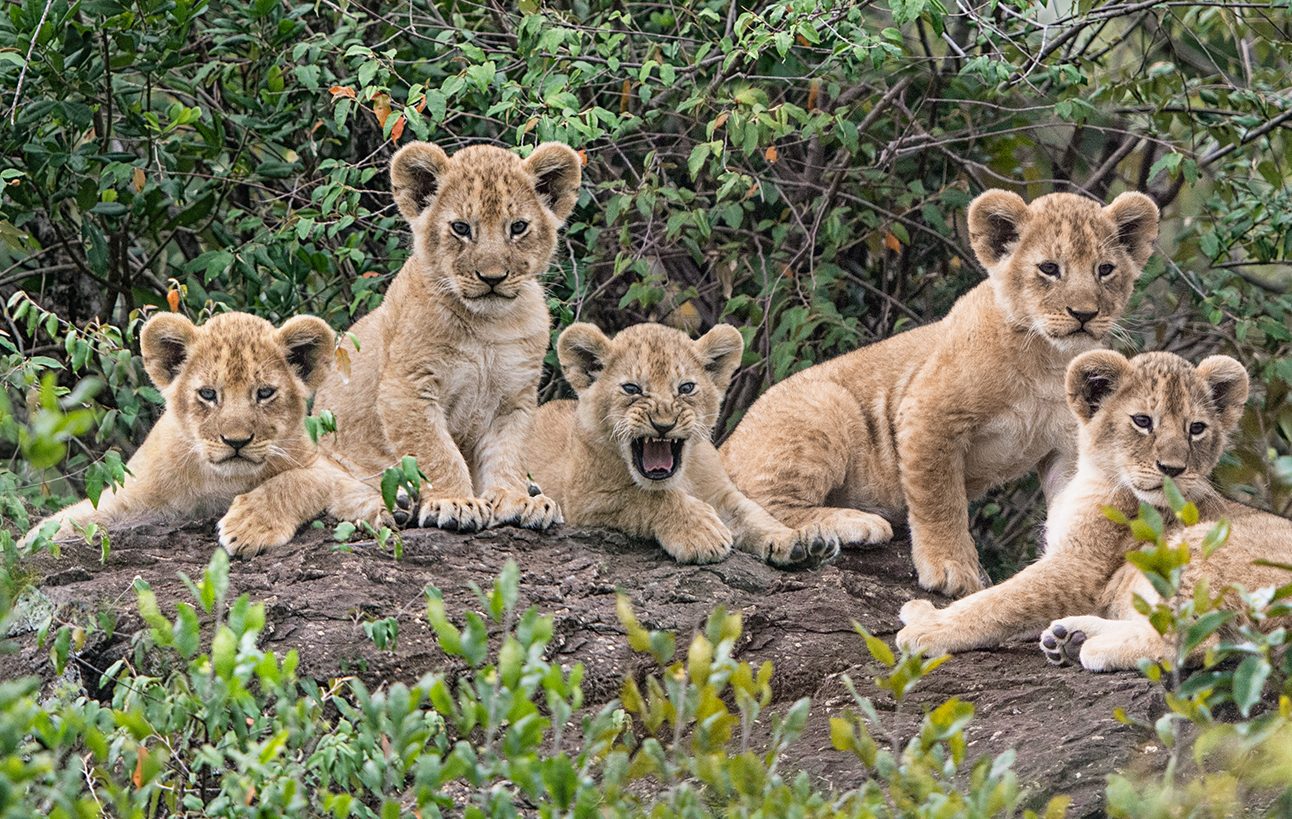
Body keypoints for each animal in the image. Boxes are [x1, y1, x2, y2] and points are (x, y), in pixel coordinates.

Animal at [23, 312, 388, 556]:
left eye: (265, 393)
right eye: (208, 394)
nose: (236, 441)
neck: (219, 482)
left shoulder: (330, 467)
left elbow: (298, 481)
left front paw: (248, 525)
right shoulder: (135, 495)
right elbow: (77, 516)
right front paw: (30, 542)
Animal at [312, 141, 582, 533]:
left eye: (518, 227)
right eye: (461, 228)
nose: (492, 277)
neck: (489, 325)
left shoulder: (515, 396)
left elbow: (508, 452)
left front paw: (516, 500)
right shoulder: (407, 388)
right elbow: (437, 452)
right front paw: (454, 502)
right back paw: (399, 506)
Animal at [527, 322, 838, 566]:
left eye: (686, 388)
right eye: (632, 388)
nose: (664, 424)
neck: (682, 475)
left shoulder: (722, 494)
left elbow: (755, 515)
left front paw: (799, 539)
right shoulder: (585, 499)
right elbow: (647, 497)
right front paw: (701, 534)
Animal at [721, 189, 1160, 596]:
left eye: (1105, 269)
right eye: (1049, 268)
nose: (1084, 314)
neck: (1048, 360)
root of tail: (723, 445)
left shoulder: (1067, 448)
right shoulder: (928, 413)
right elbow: (939, 499)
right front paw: (952, 568)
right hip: (829, 403)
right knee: (758, 503)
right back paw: (848, 527)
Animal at [895, 350, 1292, 671]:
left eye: (1196, 428)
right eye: (1142, 421)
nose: (1173, 468)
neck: (1093, 476)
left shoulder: (1079, 568)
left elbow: (999, 601)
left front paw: (927, 625)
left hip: (1198, 546)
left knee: (1202, 639)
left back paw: (1093, 648)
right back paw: (1072, 636)